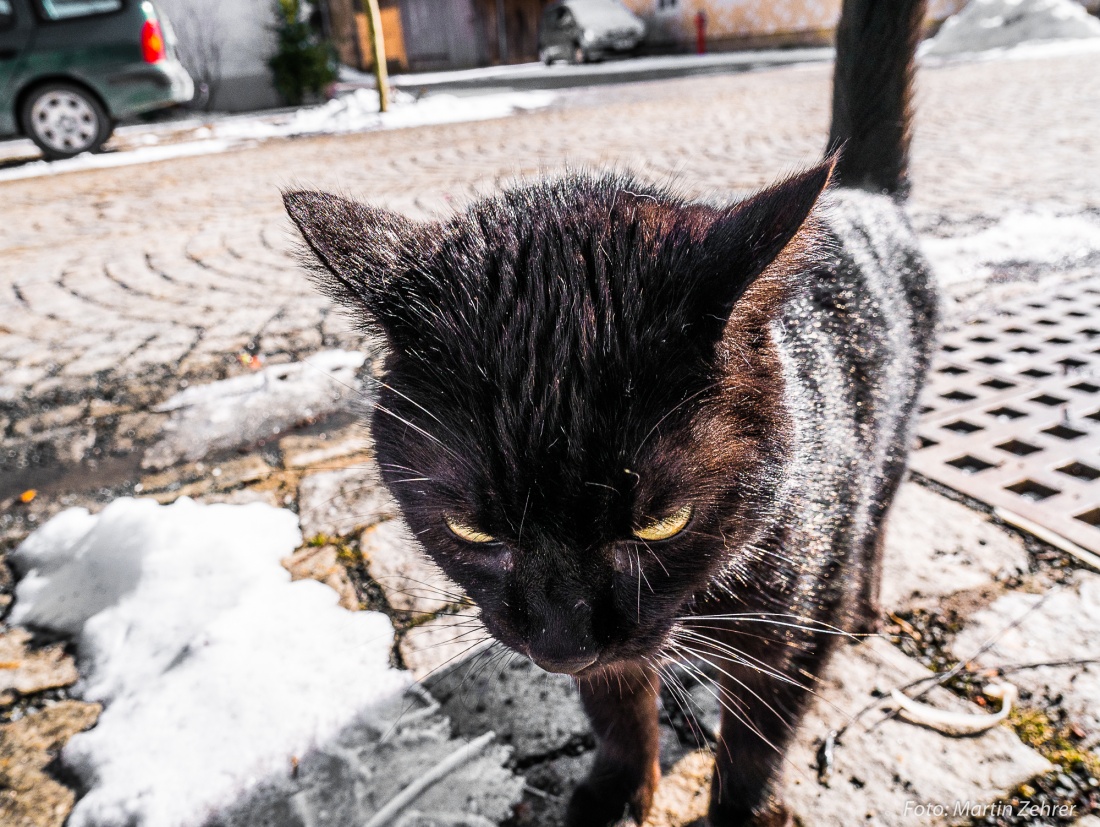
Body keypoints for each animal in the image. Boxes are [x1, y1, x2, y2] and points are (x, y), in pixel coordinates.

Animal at [281, 0, 937, 822]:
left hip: (890, 444)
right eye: (472, 530)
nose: (562, 645)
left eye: (662, 523)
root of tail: (864, 194)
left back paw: (868, 606)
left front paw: (741, 808)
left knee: (878, 521)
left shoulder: (794, 614)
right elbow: (618, 705)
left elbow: (758, 739)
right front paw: (621, 789)